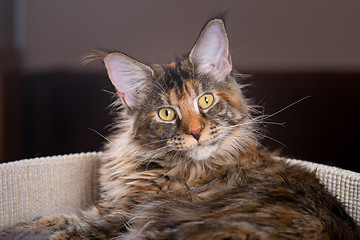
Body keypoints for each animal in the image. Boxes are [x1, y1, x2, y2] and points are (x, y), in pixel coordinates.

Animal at [1, 18, 358, 240]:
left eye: (205, 100)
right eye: (166, 113)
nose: (197, 132)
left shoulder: (116, 218)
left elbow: (60, 226)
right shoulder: (108, 211)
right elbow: (49, 219)